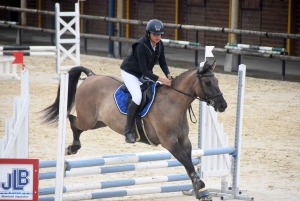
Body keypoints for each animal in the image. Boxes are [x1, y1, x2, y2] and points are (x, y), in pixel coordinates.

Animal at [42, 60, 227, 200]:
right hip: (88, 120)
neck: (174, 102)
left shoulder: (184, 141)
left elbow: (190, 165)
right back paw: (72, 147)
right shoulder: (169, 142)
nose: (222, 105)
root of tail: (91, 76)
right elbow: (187, 163)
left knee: (76, 123)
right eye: (208, 83)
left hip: (99, 122)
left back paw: (72, 148)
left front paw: (199, 190)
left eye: (218, 82)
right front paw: (203, 190)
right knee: (72, 120)